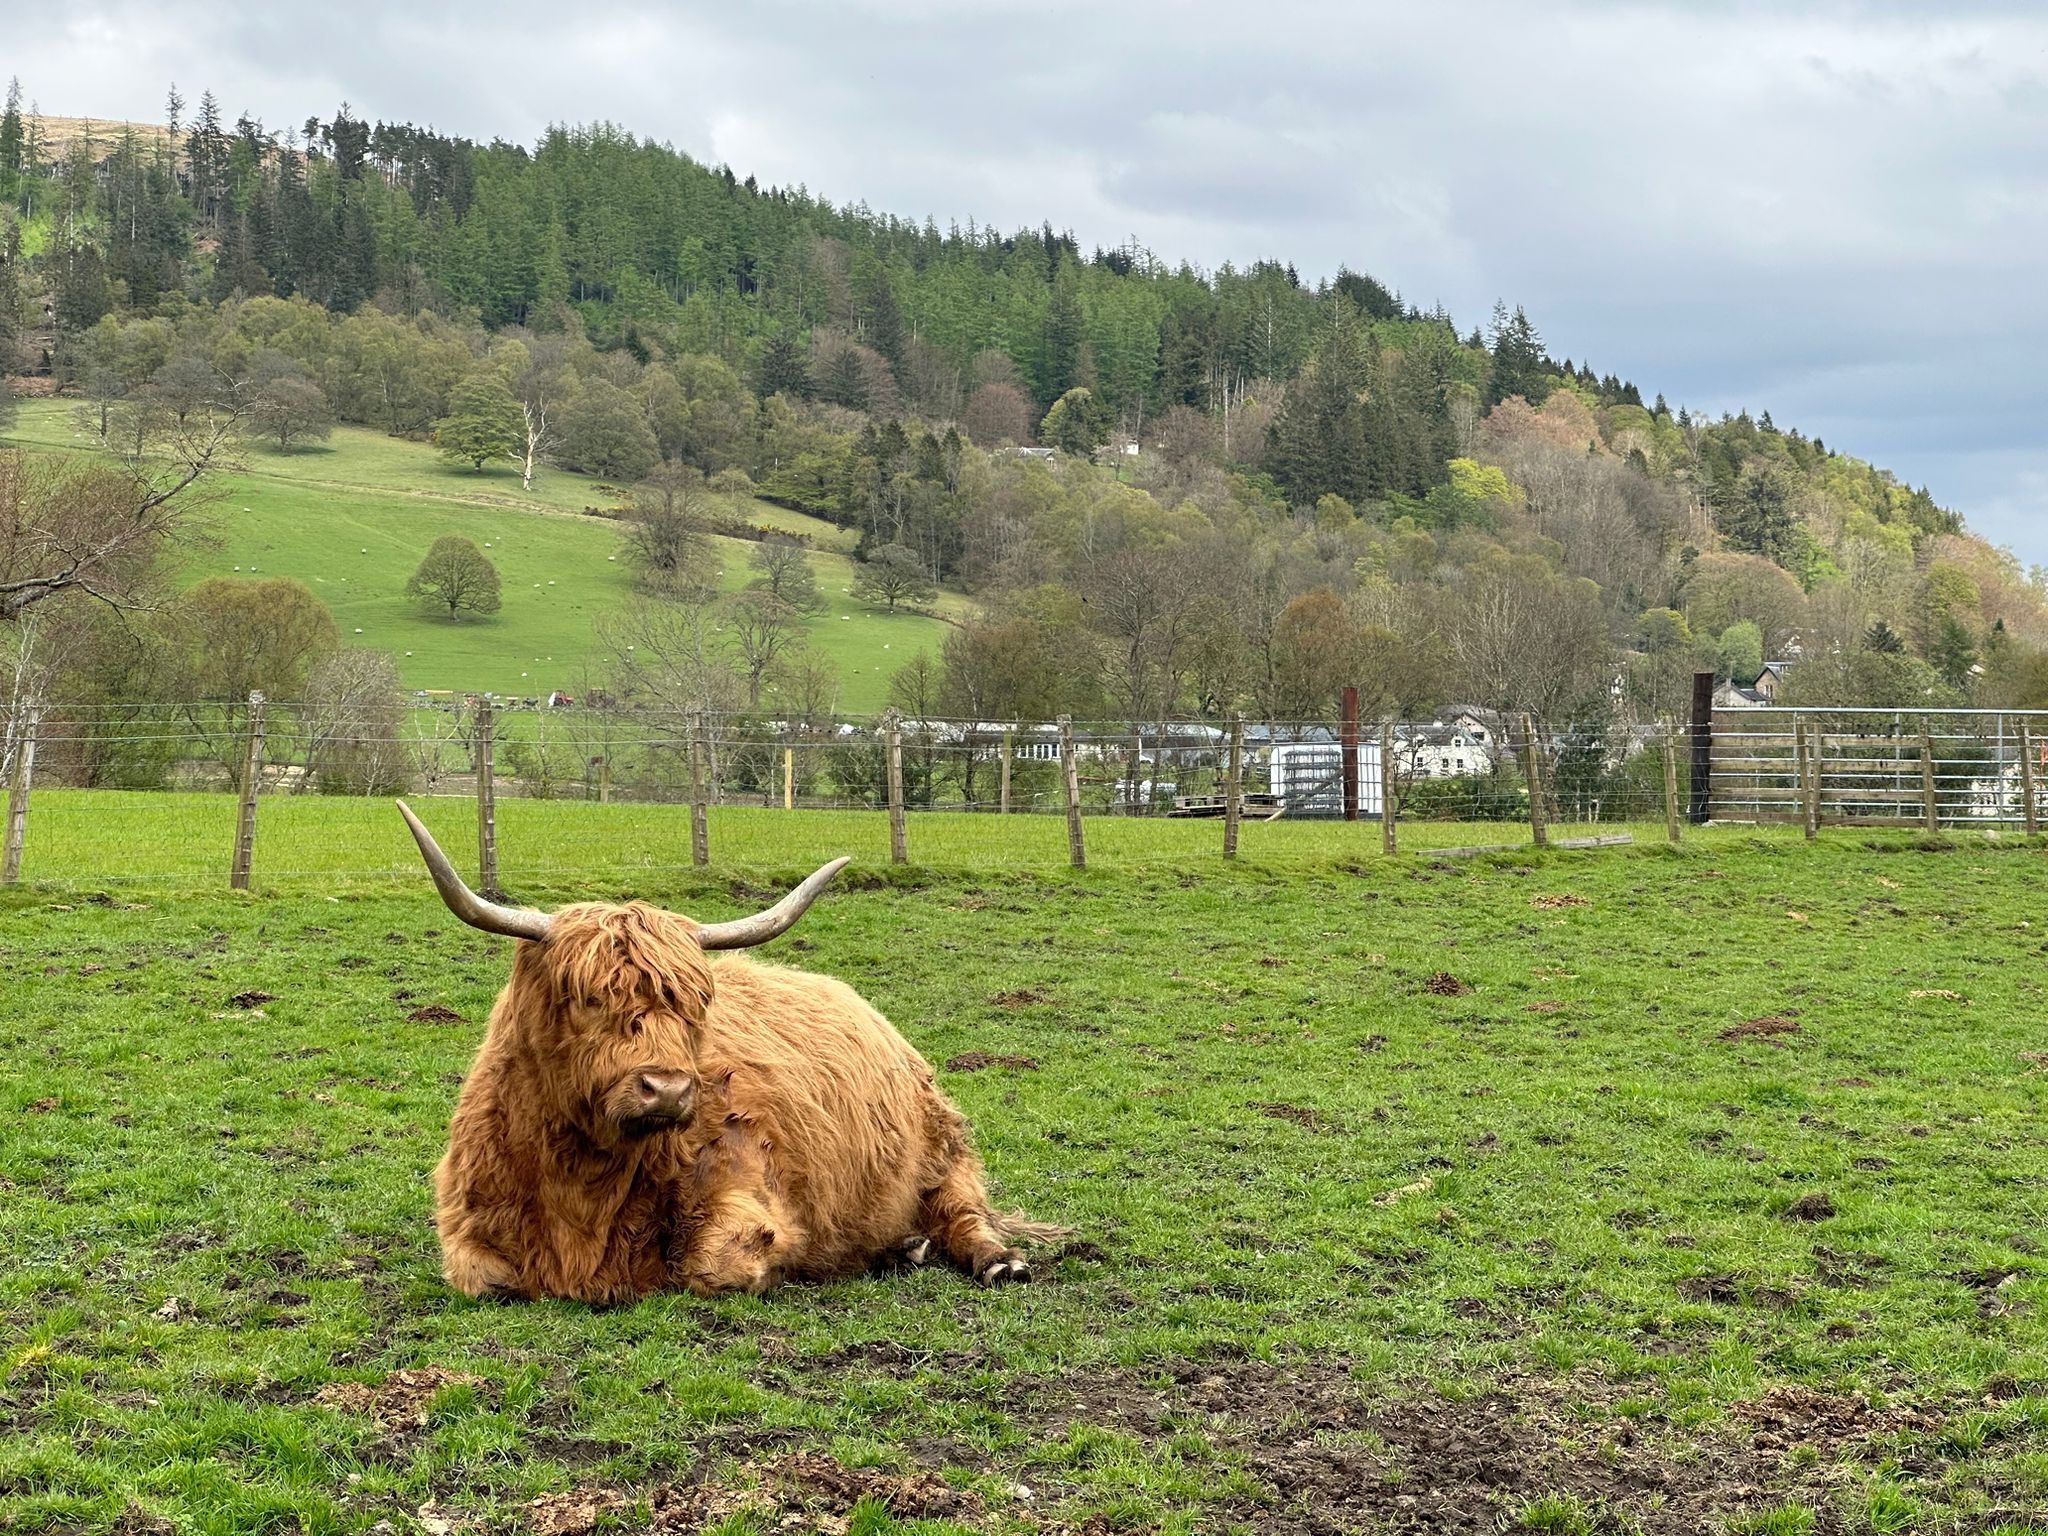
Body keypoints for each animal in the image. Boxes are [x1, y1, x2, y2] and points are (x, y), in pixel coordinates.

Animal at [396, 803, 1057, 1303]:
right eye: (585, 997)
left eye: (696, 1005)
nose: (667, 1089)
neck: (582, 1192)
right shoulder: (468, 1230)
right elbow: (487, 1278)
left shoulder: (747, 1191)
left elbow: (718, 1265)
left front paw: (788, 1265)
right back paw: (901, 1249)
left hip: (942, 1148)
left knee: (962, 1211)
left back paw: (997, 1261)